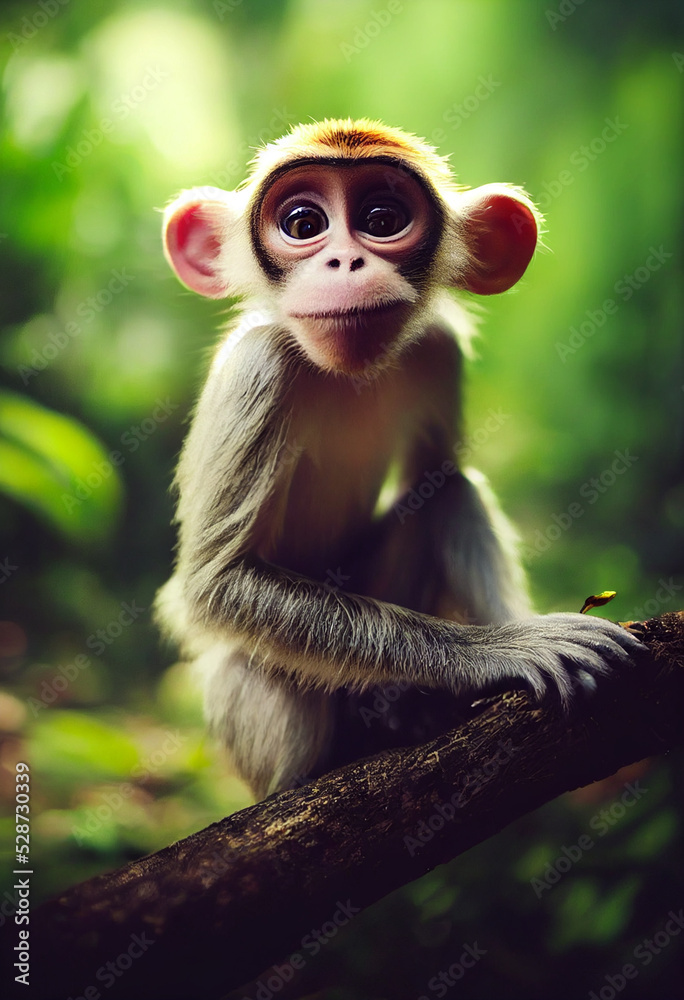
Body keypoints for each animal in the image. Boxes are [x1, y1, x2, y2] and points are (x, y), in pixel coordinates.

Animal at [155, 118, 641, 800]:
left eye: (382, 219)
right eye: (303, 223)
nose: (345, 260)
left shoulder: (438, 344)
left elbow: (435, 479)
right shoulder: (260, 367)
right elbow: (215, 584)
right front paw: (502, 649)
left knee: (450, 491)